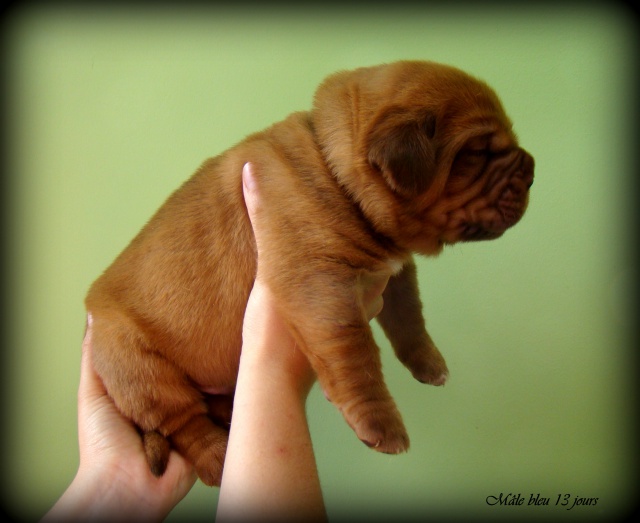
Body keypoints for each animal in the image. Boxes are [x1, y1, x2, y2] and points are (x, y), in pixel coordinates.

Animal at [86, 61, 536, 488]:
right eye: (477, 153)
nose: (532, 168)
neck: (333, 170)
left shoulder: (394, 274)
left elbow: (409, 318)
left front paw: (428, 362)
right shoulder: (320, 283)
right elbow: (354, 351)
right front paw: (381, 424)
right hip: (140, 370)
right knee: (183, 423)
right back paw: (217, 457)